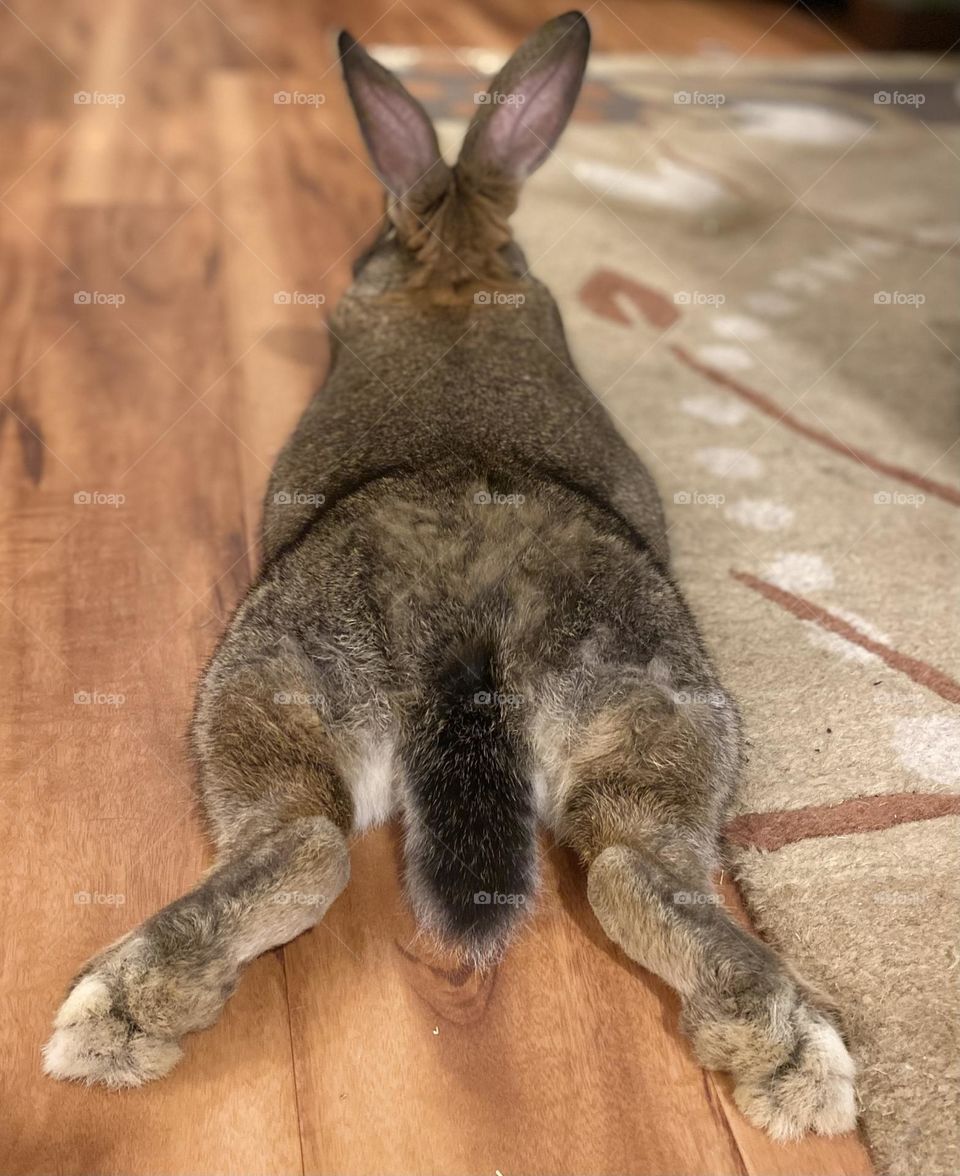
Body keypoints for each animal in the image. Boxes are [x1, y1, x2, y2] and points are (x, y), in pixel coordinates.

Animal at [43, 11, 856, 1142]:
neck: (457, 266)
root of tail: (470, 619)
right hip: (650, 711)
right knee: (624, 870)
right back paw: (792, 1059)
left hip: (272, 673)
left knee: (307, 844)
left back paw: (113, 1017)